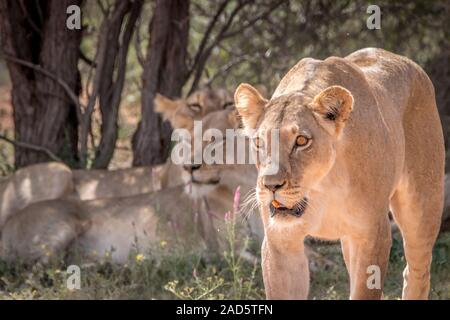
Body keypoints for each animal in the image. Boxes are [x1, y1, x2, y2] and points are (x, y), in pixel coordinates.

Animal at [234, 47, 444, 300]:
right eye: (259, 143)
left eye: (301, 141)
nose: (271, 186)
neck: (322, 186)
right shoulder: (281, 243)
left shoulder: (373, 234)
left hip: (421, 209)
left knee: (417, 273)